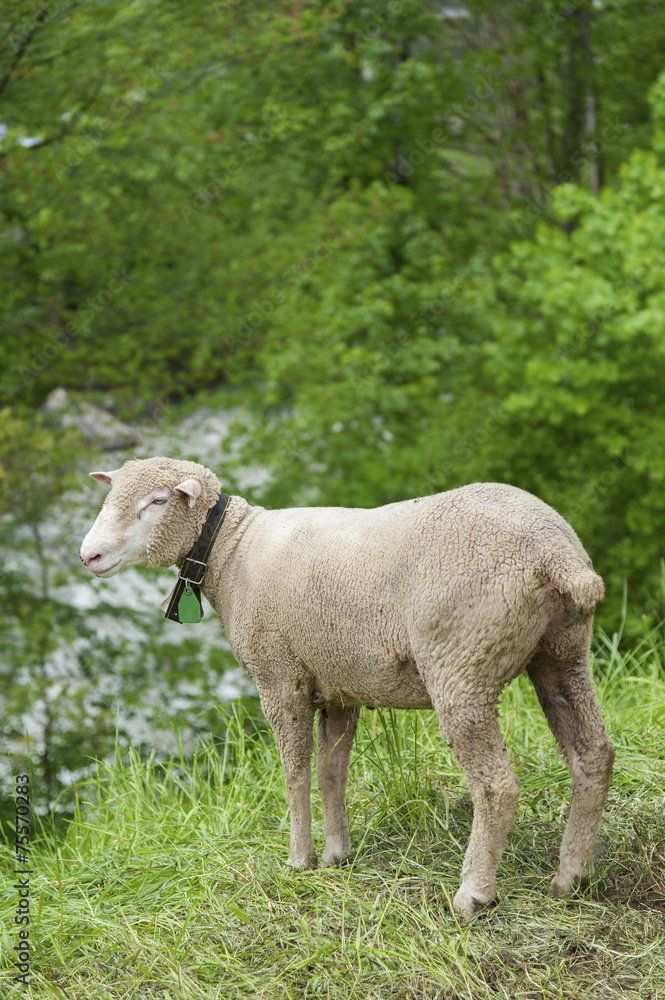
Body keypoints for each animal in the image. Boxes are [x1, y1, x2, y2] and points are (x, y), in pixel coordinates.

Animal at [80, 456, 615, 919]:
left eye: (156, 501)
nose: (89, 555)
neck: (234, 549)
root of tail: (556, 555)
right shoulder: (338, 685)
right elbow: (331, 770)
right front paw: (338, 853)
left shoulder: (280, 678)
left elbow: (294, 772)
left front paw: (300, 859)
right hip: (561, 654)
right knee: (594, 754)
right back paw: (571, 877)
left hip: (463, 662)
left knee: (497, 785)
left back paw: (474, 894)